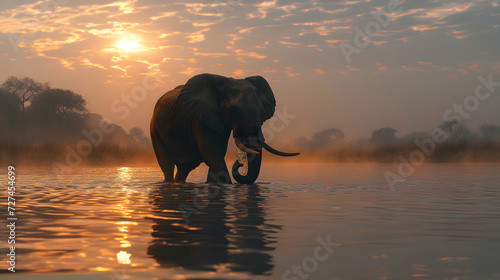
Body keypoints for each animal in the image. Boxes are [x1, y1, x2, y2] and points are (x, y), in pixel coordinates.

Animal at [150, 73, 298, 185]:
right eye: (232, 110)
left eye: (261, 110)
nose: (241, 163)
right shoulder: (200, 119)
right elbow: (213, 154)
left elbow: (219, 153)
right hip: (155, 130)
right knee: (167, 165)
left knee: (184, 169)